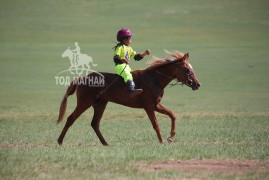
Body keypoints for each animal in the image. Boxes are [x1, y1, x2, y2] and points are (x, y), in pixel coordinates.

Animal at [57, 51, 199, 146]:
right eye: (187, 69)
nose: (197, 84)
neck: (154, 79)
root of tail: (81, 78)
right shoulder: (148, 106)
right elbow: (155, 124)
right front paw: (162, 140)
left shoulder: (156, 105)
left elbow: (172, 115)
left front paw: (171, 137)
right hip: (85, 102)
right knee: (71, 119)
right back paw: (59, 141)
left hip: (100, 104)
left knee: (94, 123)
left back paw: (105, 143)